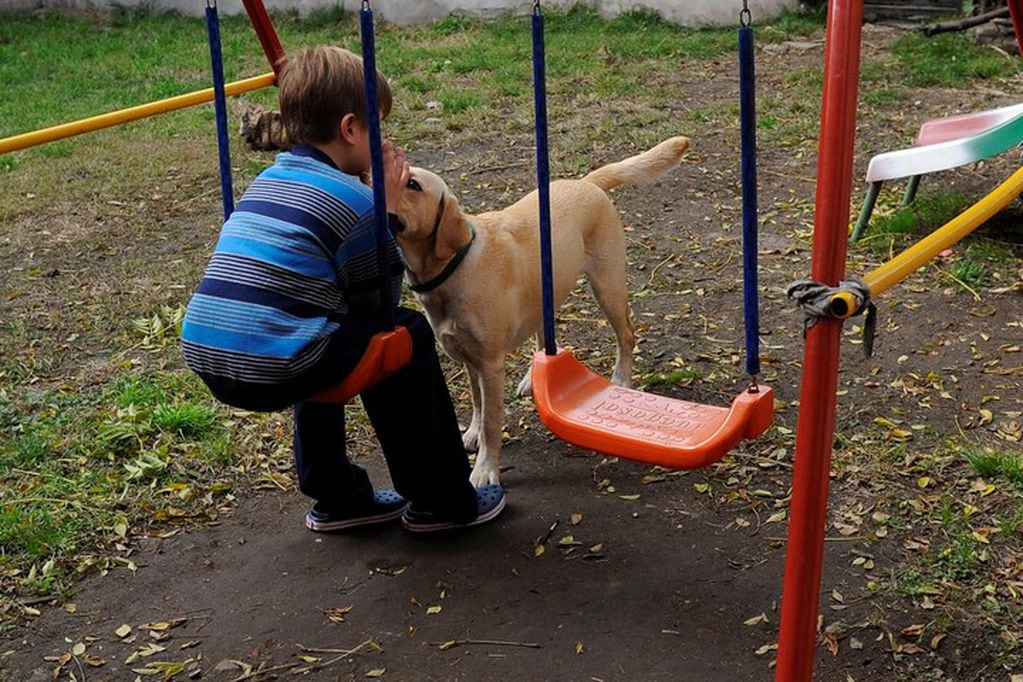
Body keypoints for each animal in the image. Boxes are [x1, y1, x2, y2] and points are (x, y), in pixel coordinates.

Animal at [394, 137, 691, 484]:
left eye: (413, 184)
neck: (455, 265)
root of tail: (587, 183)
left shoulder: (490, 365)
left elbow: (492, 423)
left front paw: (485, 470)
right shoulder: (468, 357)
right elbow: (477, 403)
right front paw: (473, 433)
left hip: (608, 288)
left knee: (627, 335)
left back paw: (620, 378)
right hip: (544, 293)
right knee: (542, 335)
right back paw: (531, 377)